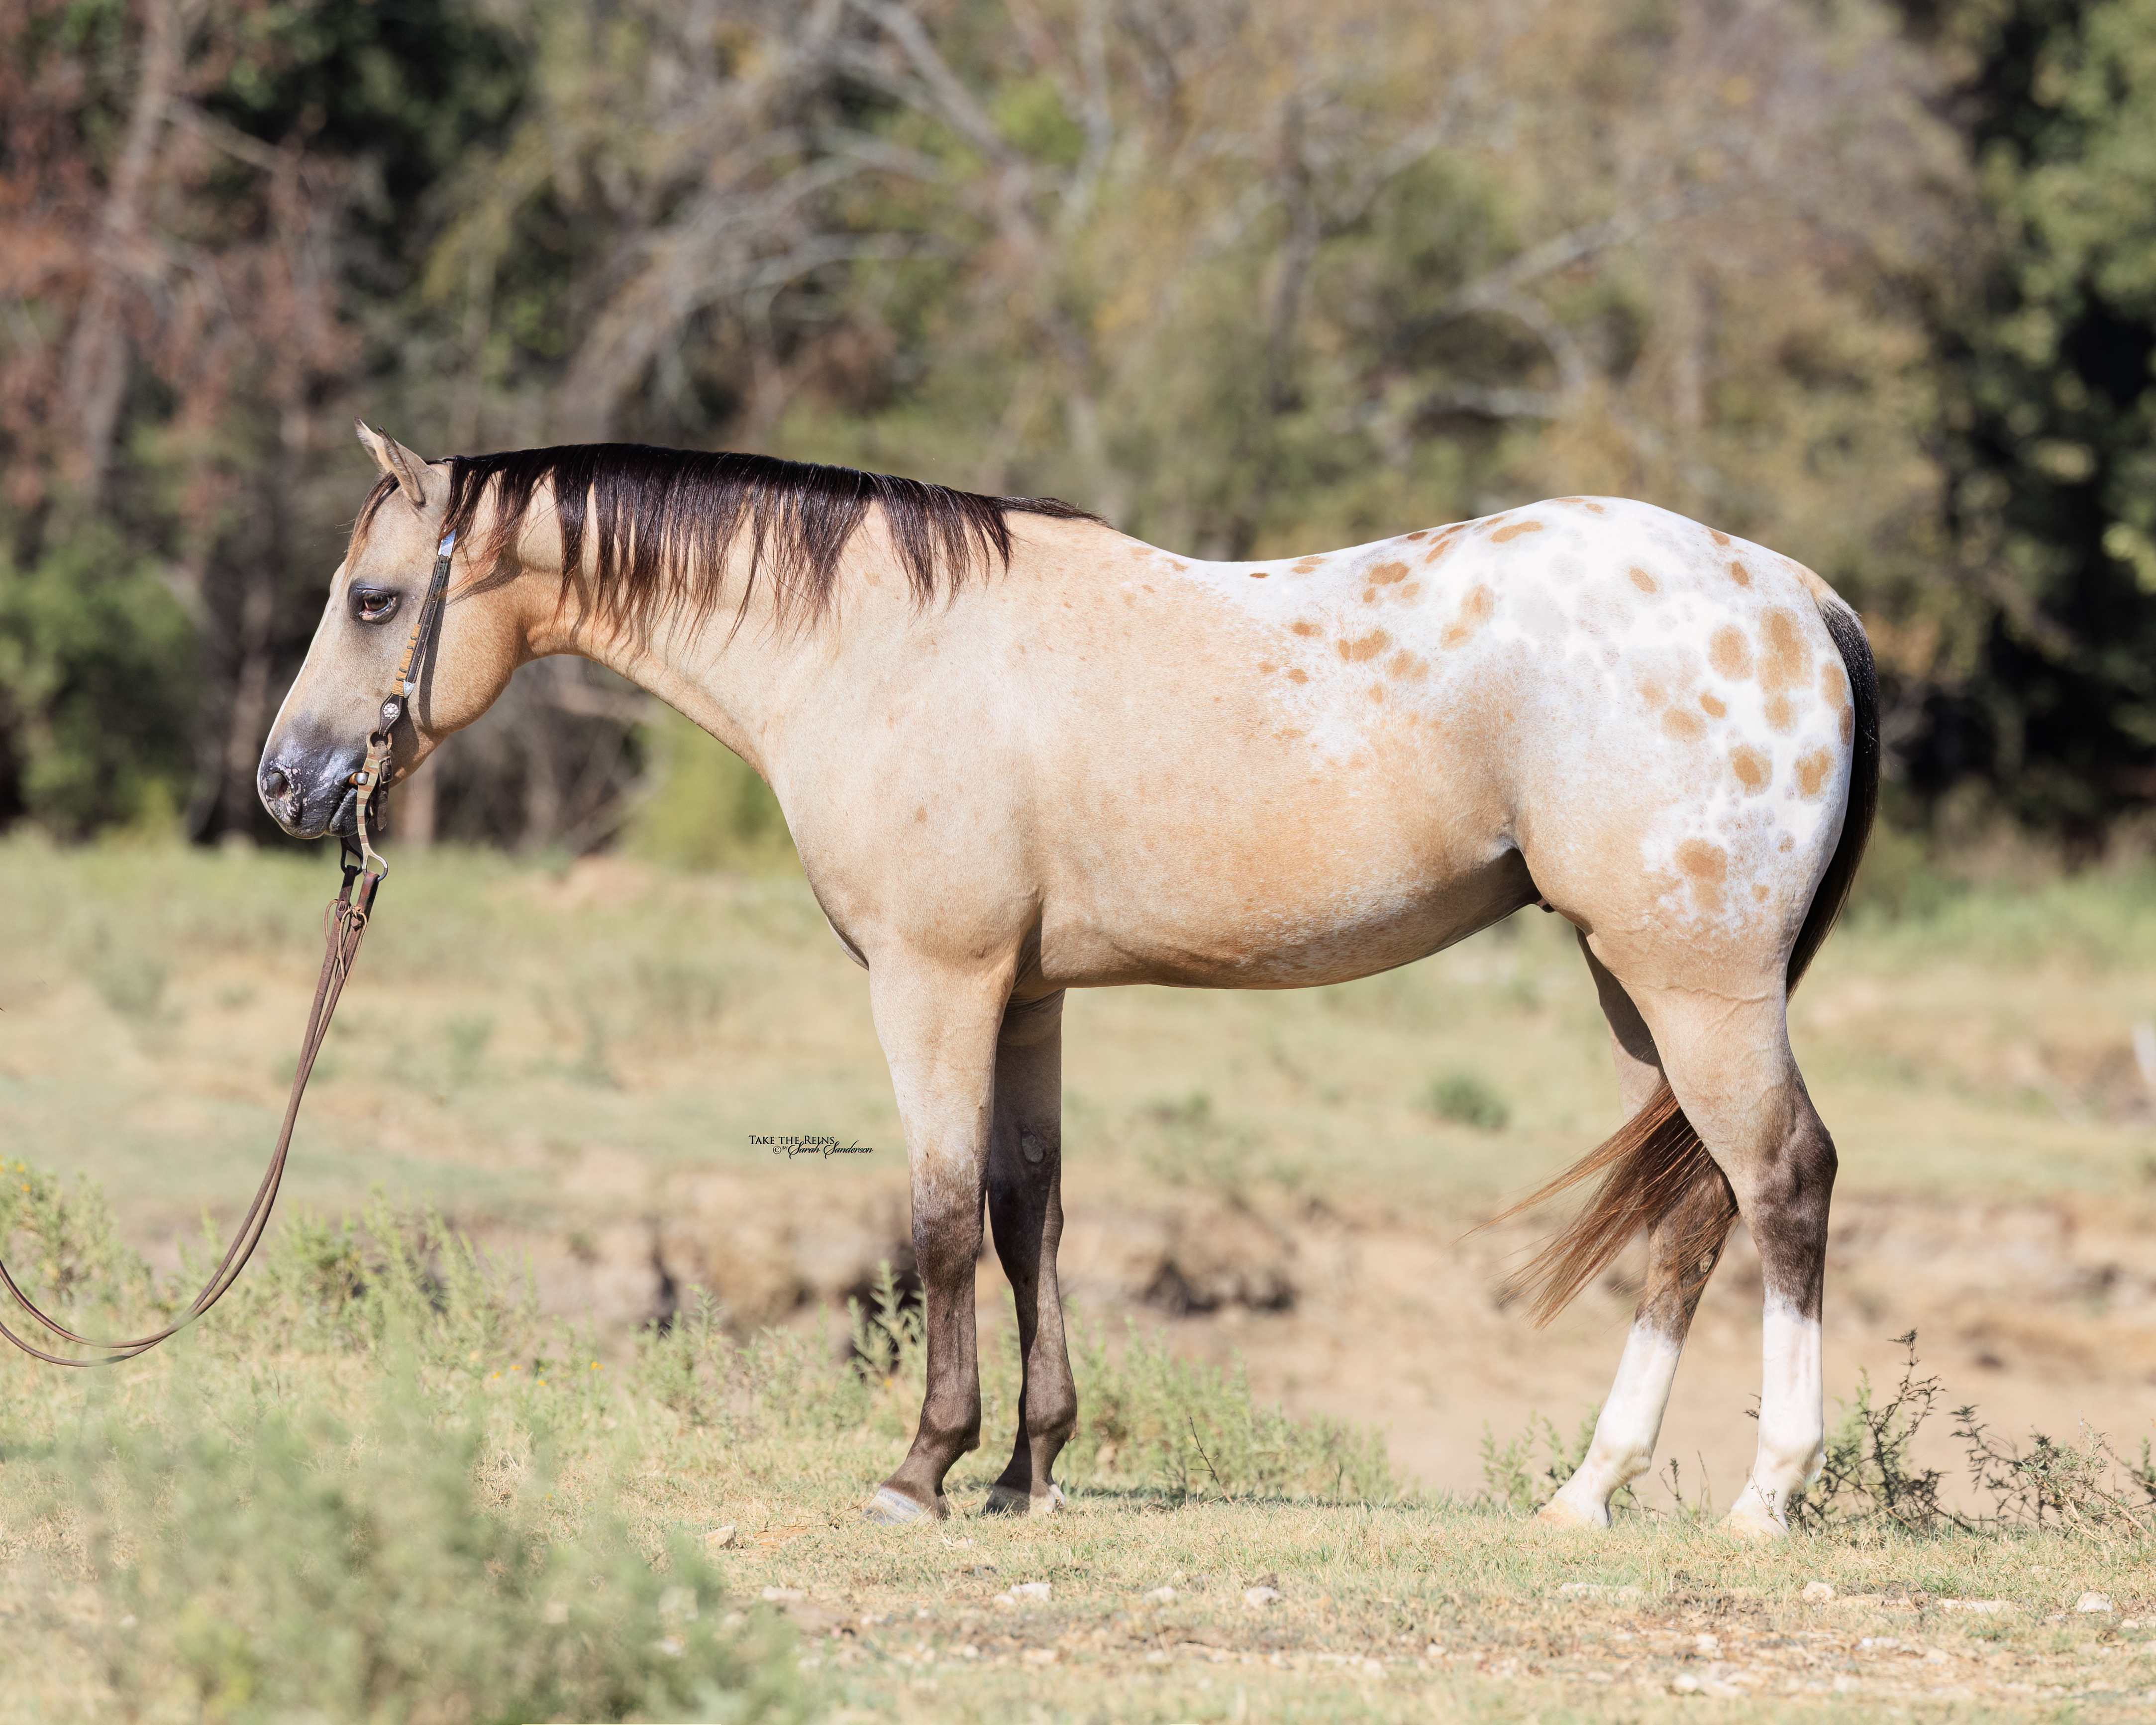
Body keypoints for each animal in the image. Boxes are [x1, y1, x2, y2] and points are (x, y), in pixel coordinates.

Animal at [259, 422, 1878, 1539]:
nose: (286, 782)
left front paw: (923, 1466)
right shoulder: (1027, 995)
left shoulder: (934, 983)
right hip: (1640, 992)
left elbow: (937, 1214)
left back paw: (1765, 1495)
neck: (872, 644)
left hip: (1699, 989)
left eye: (374, 599)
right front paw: (1029, 1469)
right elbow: (1029, 1210)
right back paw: (1587, 1489)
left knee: (1784, 1178)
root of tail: (1797, 592)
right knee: (1693, 1209)